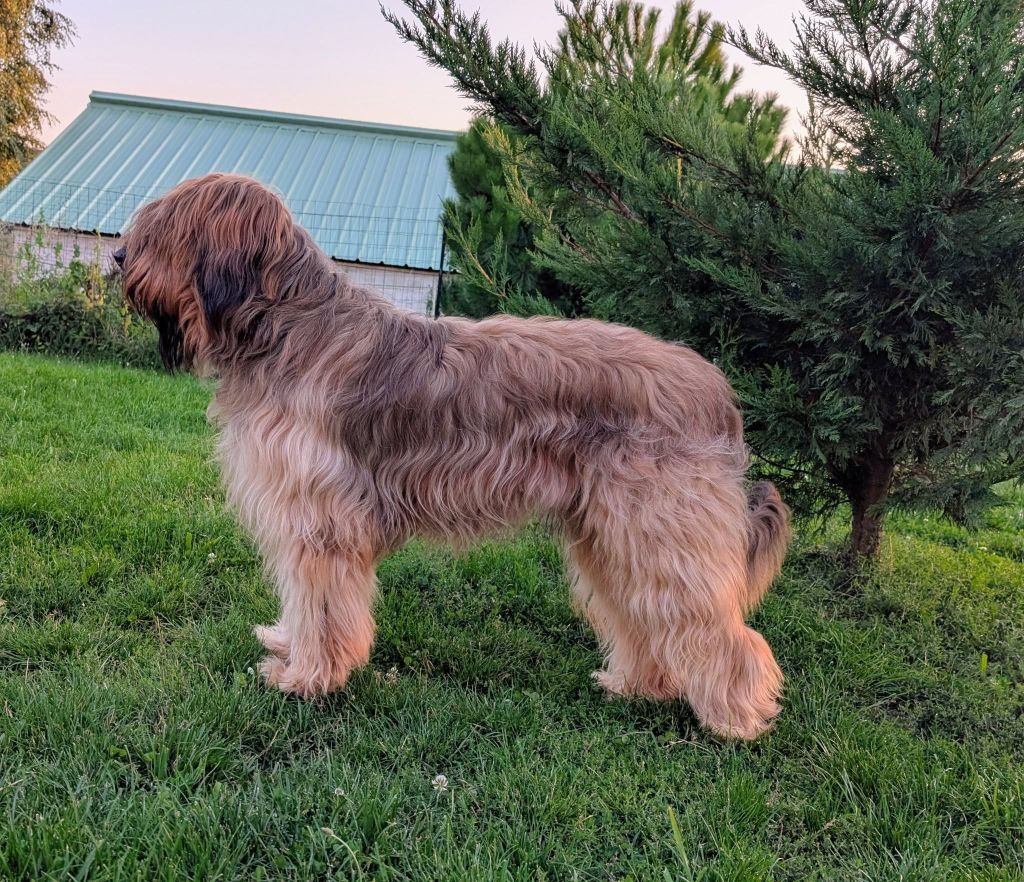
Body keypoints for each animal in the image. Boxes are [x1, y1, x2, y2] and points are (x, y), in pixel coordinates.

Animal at [115, 173, 791, 740]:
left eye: (166, 225)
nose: (118, 256)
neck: (283, 326)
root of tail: (718, 390)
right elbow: (301, 601)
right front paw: (286, 645)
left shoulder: (319, 519)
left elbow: (321, 605)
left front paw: (305, 678)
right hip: (614, 533)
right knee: (643, 615)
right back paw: (637, 687)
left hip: (660, 529)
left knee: (716, 627)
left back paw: (736, 720)